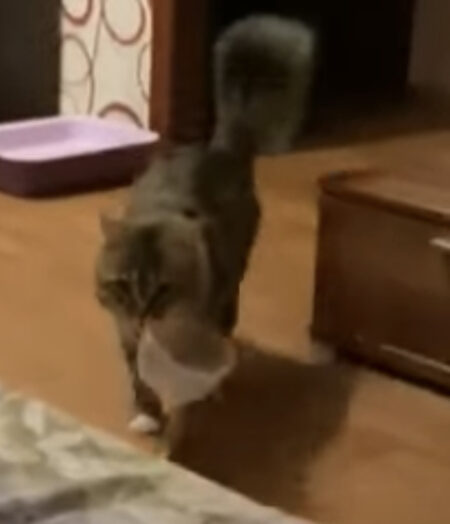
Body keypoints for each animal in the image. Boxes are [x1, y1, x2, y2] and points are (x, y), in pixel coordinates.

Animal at [95, 15, 315, 437]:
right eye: (122, 286)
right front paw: (147, 413)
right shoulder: (125, 332)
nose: (143, 315)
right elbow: (138, 376)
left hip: (231, 286)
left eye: (163, 289)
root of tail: (220, 151)